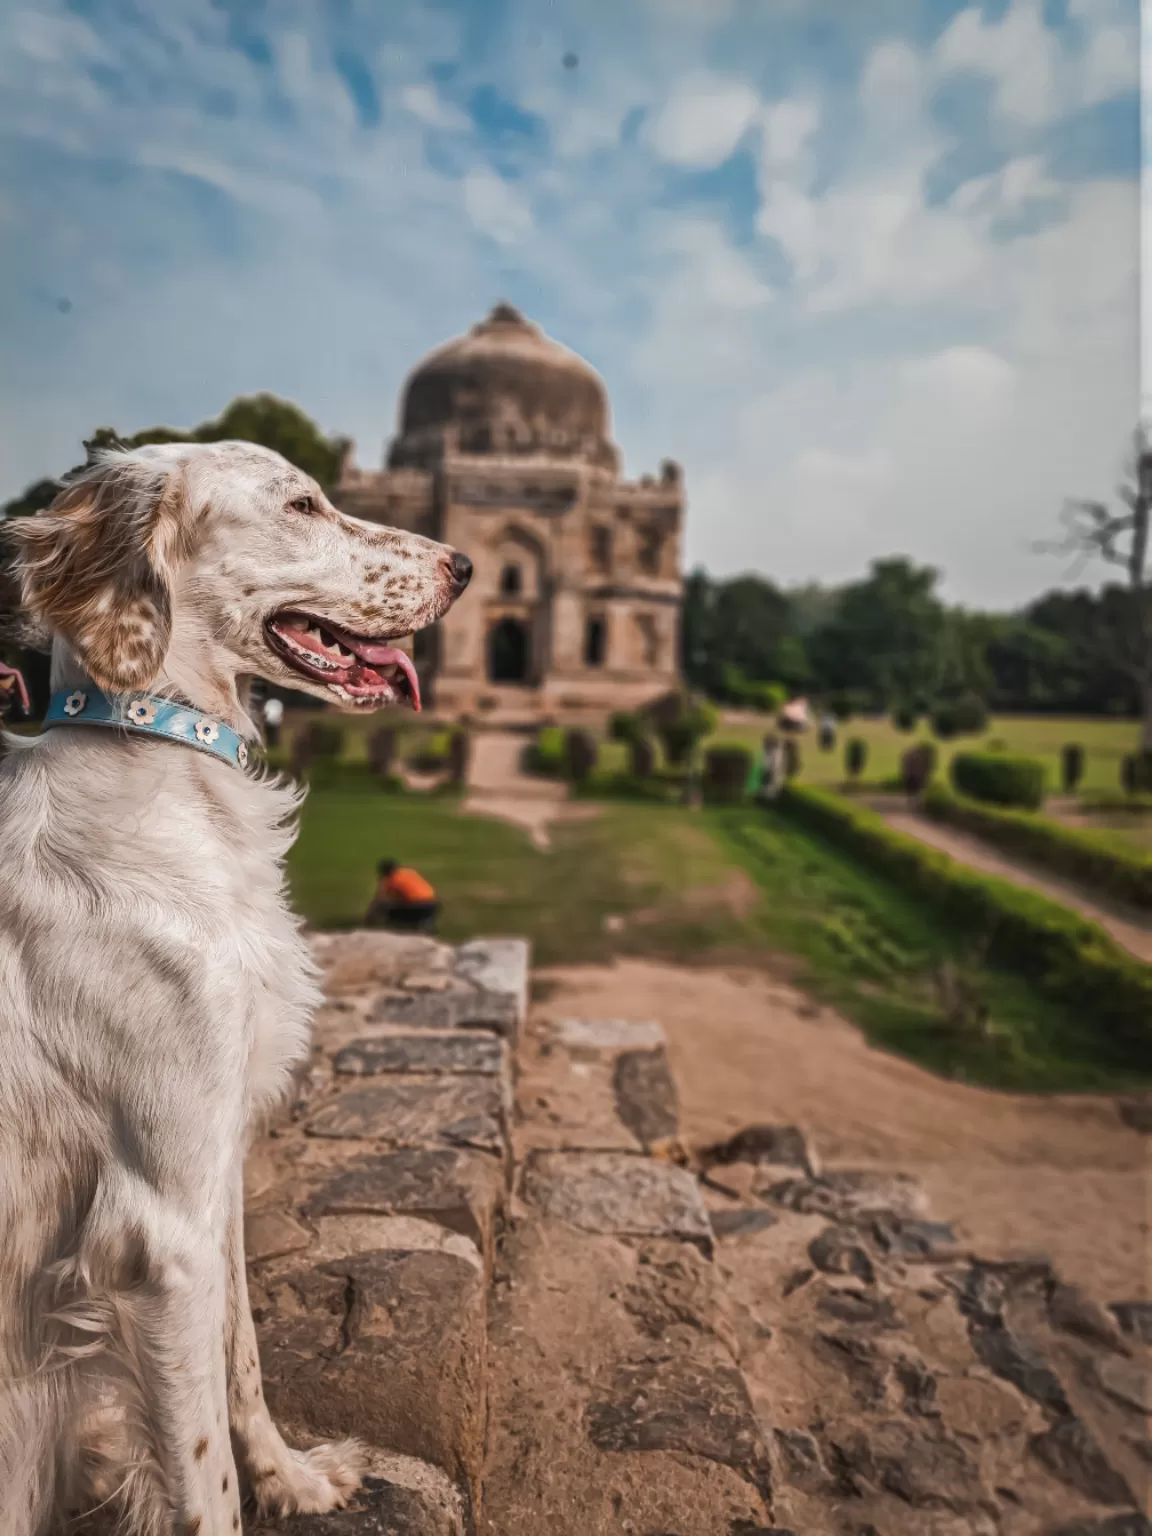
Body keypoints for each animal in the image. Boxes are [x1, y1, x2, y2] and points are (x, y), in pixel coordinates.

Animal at [0, 439, 473, 1529]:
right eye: (302, 504)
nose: (467, 566)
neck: (164, 762)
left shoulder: (212, 1167)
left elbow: (242, 1361)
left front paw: (292, 1480)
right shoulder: (158, 1231)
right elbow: (201, 1469)